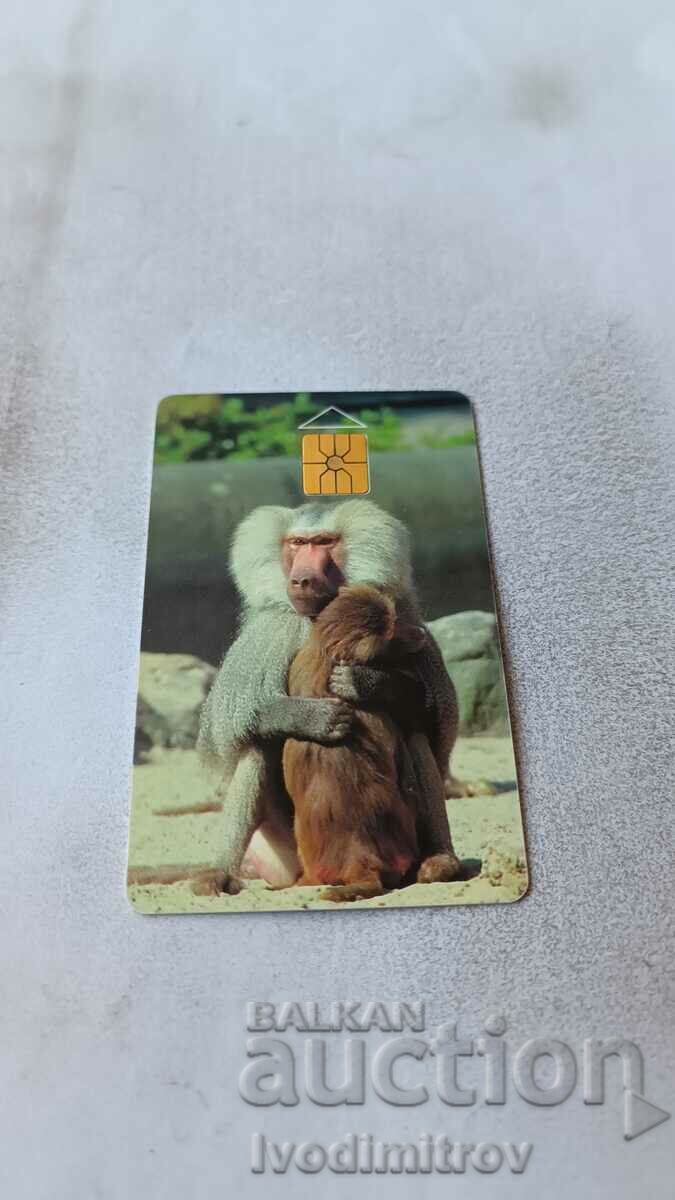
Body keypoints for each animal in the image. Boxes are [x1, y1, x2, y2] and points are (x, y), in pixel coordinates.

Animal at [282, 583, 432, 900]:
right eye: (391, 634)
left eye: (396, 618)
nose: (421, 634)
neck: (327, 657)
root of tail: (359, 858)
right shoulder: (378, 716)